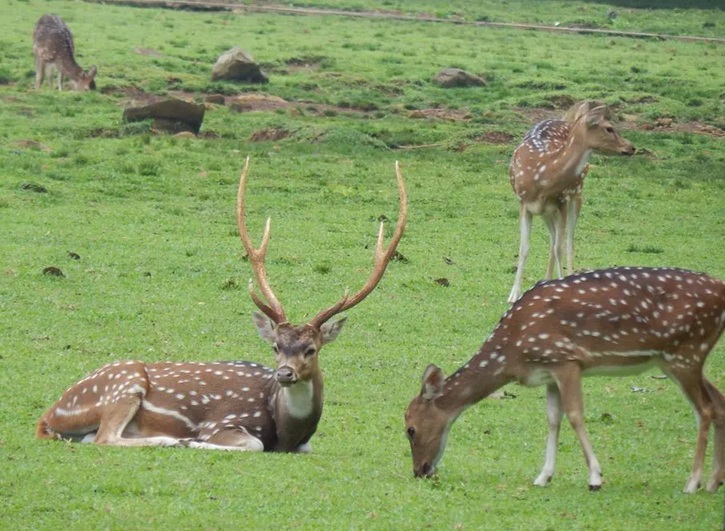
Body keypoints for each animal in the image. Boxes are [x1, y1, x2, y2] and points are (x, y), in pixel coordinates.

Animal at [36, 158, 407, 452]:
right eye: (275, 346)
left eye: (311, 349)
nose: (284, 373)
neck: (286, 431)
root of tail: (49, 414)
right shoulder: (224, 421)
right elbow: (253, 444)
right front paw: (196, 441)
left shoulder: (304, 444)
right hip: (124, 385)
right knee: (104, 437)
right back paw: (172, 440)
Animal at [405, 267, 725, 492]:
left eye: (410, 429)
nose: (420, 470)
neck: (513, 352)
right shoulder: (548, 373)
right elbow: (552, 420)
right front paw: (543, 476)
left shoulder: (566, 359)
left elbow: (574, 415)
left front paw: (595, 477)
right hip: (679, 358)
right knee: (719, 403)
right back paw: (713, 483)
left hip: (686, 352)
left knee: (705, 410)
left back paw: (692, 484)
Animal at [507, 101, 635, 304]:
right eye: (609, 128)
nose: (631, 147)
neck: (541, 175)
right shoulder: (524, 202)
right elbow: (524, 248)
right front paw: (513, 295)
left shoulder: (561, 200)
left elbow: (561, 247)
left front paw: (562, 286)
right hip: (546, 211)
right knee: (553, 239)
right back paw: (545, 279)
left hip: (577, 194)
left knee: (567, 242)